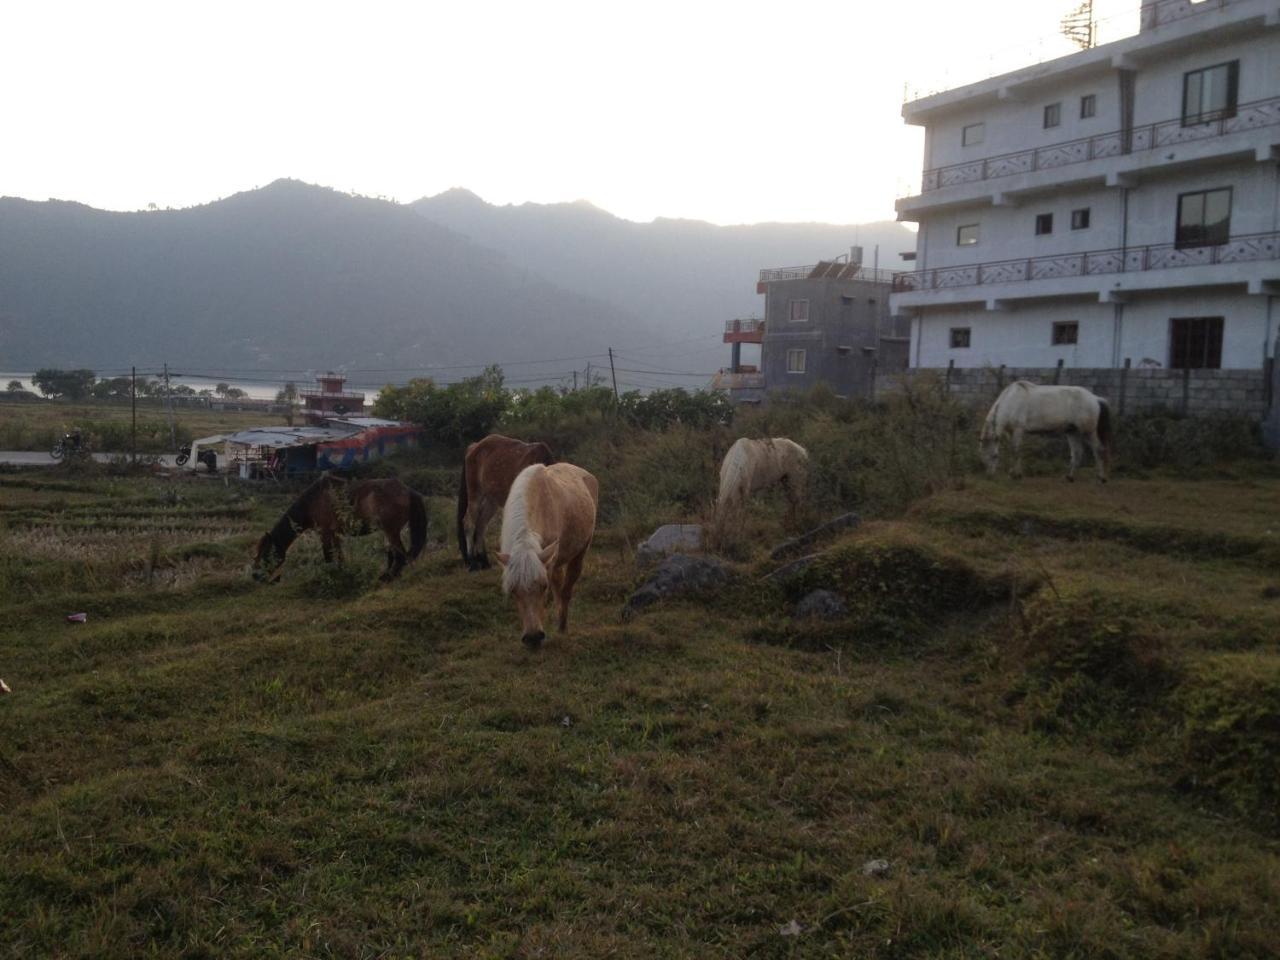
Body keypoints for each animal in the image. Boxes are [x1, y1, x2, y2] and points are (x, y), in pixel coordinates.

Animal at [254, 476, 430, 583]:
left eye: (266, 553)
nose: (255, 576)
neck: (312, 502)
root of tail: (408, 490)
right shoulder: (334, 533)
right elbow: (339, 556)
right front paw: (342, 572)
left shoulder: (325, 532)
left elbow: (328, 557)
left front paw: (330, 575)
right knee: (394, 554)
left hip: (391, 530)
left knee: (400, 555)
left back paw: (389, 578)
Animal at [458, 435, 552, 570]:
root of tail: (473, 446)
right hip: (475, 494)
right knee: (469, 523)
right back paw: (472, 562)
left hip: (491, 501)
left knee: (481, 525)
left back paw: (484, 561)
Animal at [499, 463, 599, 650]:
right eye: (513, 590)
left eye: (543, 587)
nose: (532, 638)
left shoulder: (548, 566)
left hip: (580, 552)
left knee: (566, 590)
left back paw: (562, 626)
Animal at [977, 381, 1111, 483]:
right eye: (982, 456)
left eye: (994, 456)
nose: (989, 476)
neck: (1012, 401)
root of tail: (1095, 398)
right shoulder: (1011, 432)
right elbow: (1014, 451)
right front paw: (1013, 474)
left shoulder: (1019, 430)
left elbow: (1016, 451)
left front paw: (1015, 475)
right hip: (1072, 432)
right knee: (1077, 453)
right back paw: (1069, 477)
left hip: (1089, 432)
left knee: (1098, 450)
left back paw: (1102, 478)